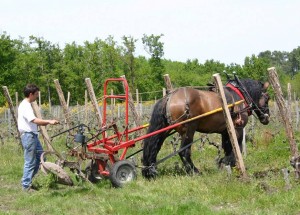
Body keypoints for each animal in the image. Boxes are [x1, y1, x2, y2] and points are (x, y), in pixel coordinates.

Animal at [142, 78, 270, 179]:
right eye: (267, 98)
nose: (267, 118)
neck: (240, 96)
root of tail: (170, 96)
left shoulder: (225, 131)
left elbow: (228, 147)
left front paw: (226, 164)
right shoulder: (237, 129)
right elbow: (236, 148)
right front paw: (226, 162)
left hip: (165, 129)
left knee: (154, 146)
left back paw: (150, 171)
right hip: (188, 130)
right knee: (184, 151)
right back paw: (194, 171)